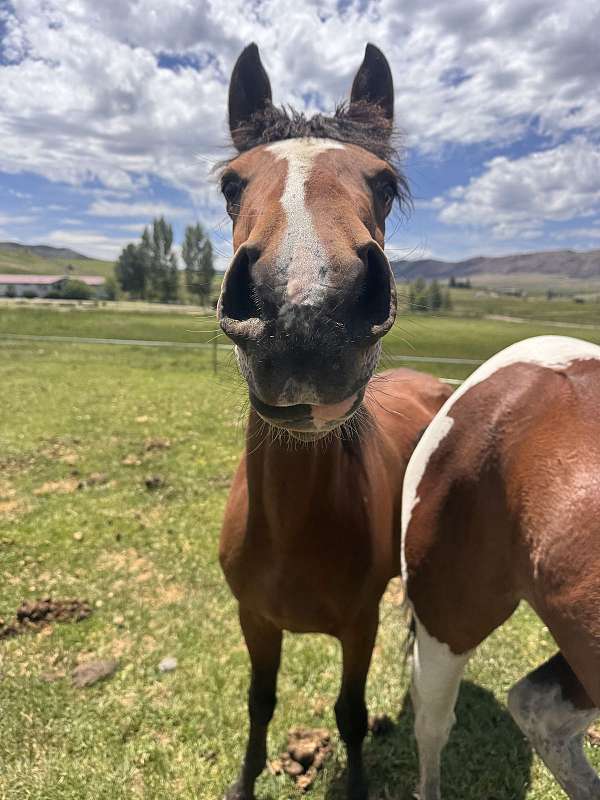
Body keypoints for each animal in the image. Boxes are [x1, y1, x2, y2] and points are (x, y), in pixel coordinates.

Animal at [216, 43, 452, 799]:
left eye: (383, 184)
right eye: (231, 185)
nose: (306, 313)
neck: (294, 525)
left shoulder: (359, 625)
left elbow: (349, 713)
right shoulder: (254, 620)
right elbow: (259, 702)